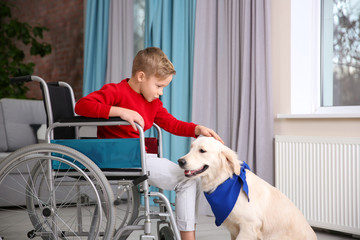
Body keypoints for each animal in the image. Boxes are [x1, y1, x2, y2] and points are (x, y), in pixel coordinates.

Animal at [177, 137, 316, 240]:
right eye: (191, 148)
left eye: (202, 151)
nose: (180, 161)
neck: (224, 181)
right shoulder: (234, 230)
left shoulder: (249, 227)